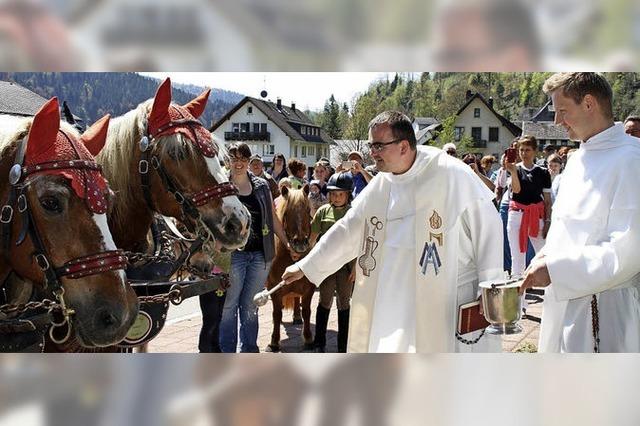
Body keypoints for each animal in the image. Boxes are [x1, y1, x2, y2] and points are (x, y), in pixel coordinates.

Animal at [264, 185, 316, 352]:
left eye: (307, 210)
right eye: (286, 212)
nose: (300, 243)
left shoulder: (309, 288)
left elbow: (307, 311)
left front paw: (308, 339)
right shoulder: (274, 289)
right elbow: (276, 314)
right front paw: (274, 342)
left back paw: (297, 317)